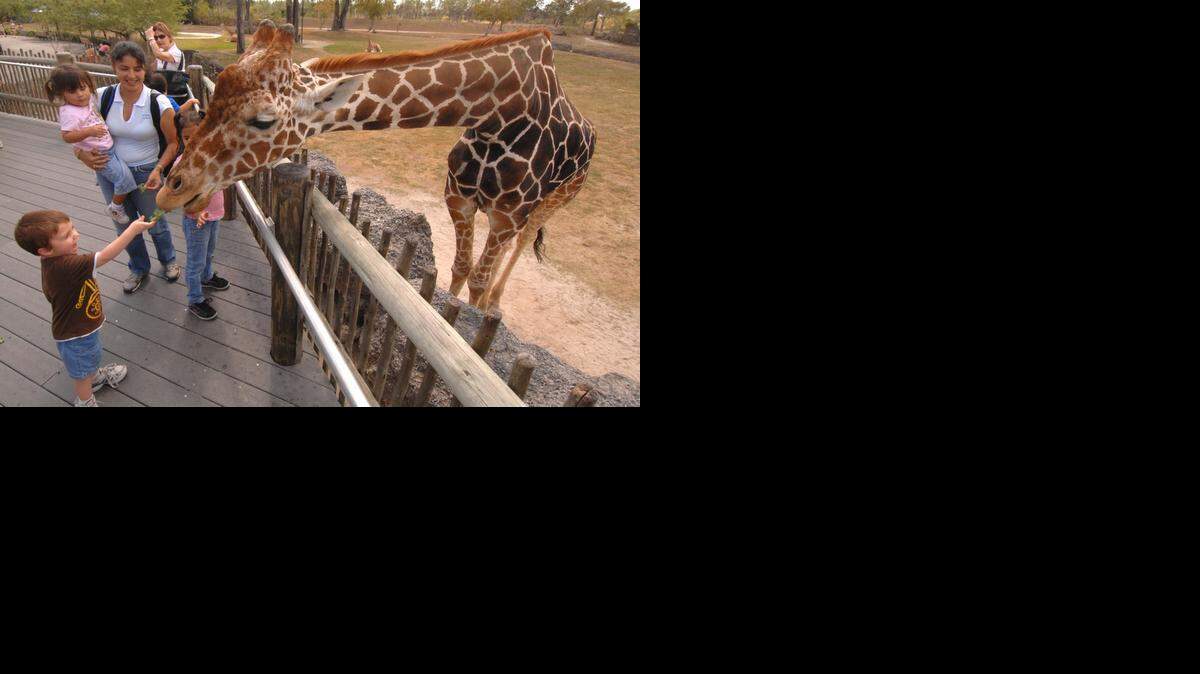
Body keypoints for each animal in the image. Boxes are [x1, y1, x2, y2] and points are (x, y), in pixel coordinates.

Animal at [157, 20, 596, 311]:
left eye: (263, 120)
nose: (169, 189)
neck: (499, 111)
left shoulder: (505, 214)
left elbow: (477, 275)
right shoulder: (458, 198)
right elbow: (459, 268)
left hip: (552, 201)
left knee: (524, 240)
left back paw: (493, 303)